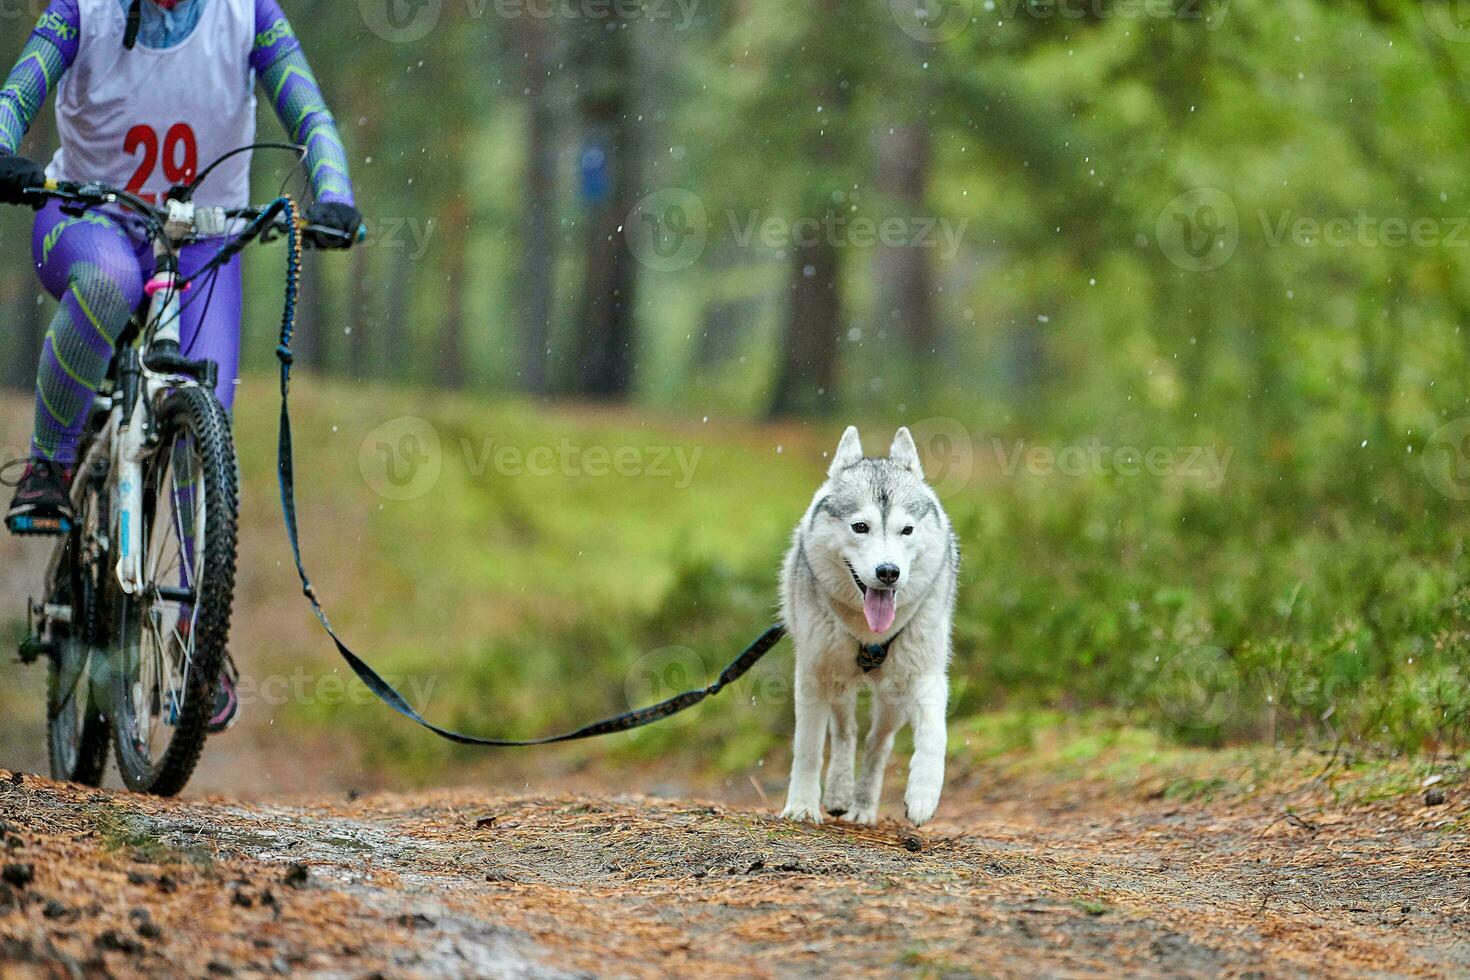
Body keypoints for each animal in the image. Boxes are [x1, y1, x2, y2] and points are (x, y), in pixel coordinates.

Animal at [776, 426, 958, 822]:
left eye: (907, 530)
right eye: (861, 527)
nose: (888, 572)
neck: (868, 633)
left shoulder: (925, 673)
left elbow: (935, 733)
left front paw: (923, 794)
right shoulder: (813, 675)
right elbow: (808, 746)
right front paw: (801, 805)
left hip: (893, 697)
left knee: (877, 742)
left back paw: (862, 805)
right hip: (840, 685)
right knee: (846, 732)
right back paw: (840, 793)